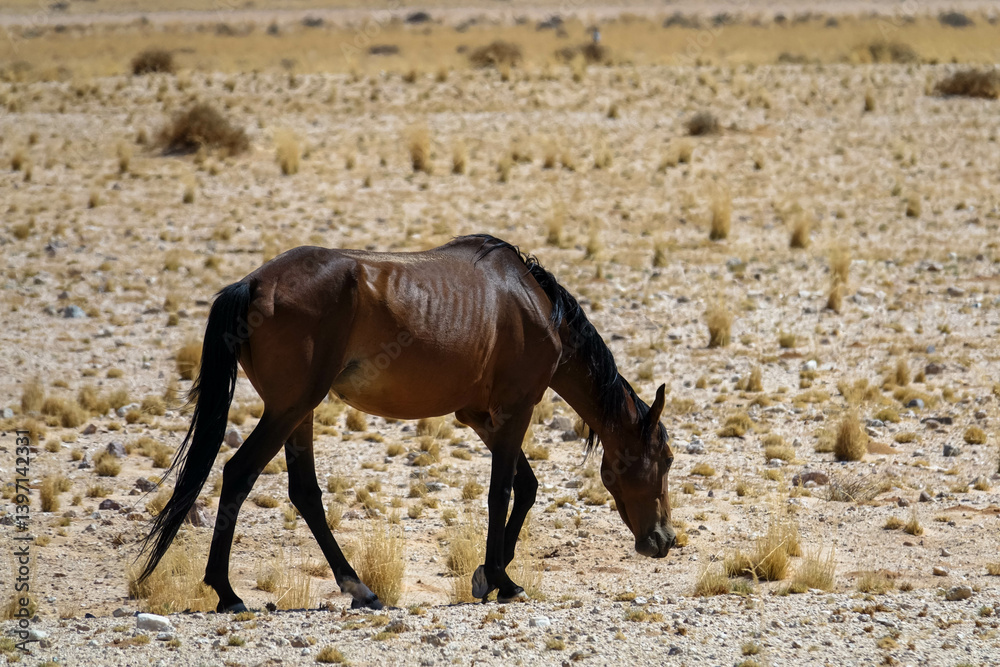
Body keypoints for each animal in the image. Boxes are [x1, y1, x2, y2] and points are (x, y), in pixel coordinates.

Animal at [137, 234, 675, 612]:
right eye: (667, 459)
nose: (664, 541)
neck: (534, 304)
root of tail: (251, 284)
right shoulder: (516, 409)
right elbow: (503, 490)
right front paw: (503, 580)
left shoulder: (479, 415)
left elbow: (525, 485)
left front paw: (488, 575)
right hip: (289, 409)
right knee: (238, 474)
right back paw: (228, 593)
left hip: (299, 413)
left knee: (304, 492)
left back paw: (358, 588)